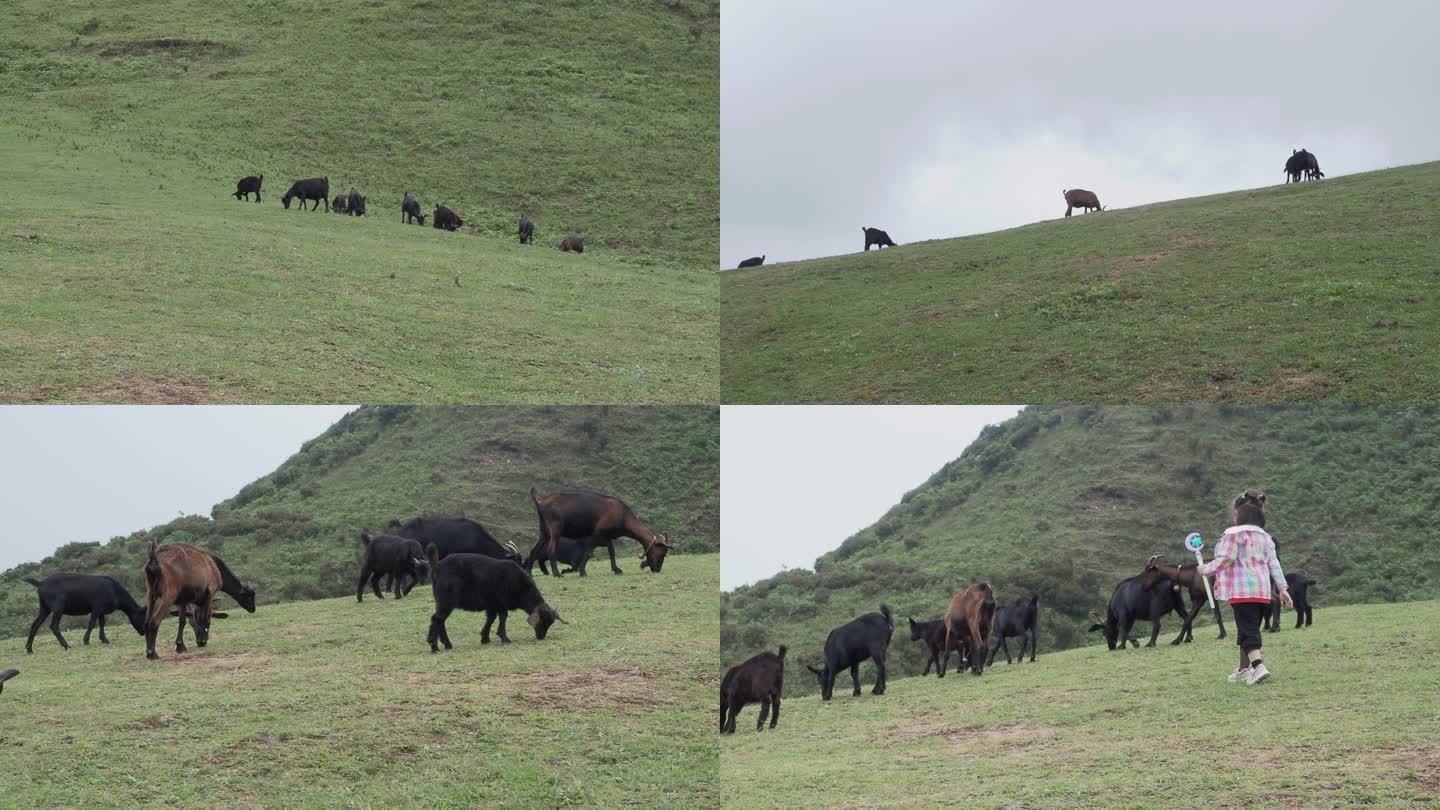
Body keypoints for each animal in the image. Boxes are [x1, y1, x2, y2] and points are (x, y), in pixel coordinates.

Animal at [423, 541, 564, 648]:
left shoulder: (492, 605)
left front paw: (485, 638)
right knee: (437, 619)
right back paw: (434, 646)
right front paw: (505, 638)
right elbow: (503, 617)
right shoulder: (501, 604)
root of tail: (437, 566)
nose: (541, 637)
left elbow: (491, 618)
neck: (521, 586)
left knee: (440, 621)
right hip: (447, 601)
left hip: (442, 602)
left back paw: (447, 645)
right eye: (544, 621)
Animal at [527, 484, 671, 573]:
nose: (657, 569)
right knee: (551, 550)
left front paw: (616, 569)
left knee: (534, 551)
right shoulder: (596, 534)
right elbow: (589, 552)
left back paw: (529, 572)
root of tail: (541, 501)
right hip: (555, 530)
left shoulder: (607, 536)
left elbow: (612, 552)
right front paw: (582, 571)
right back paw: (557, 573)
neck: (623, 516)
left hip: (544, 531)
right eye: (662, 552)